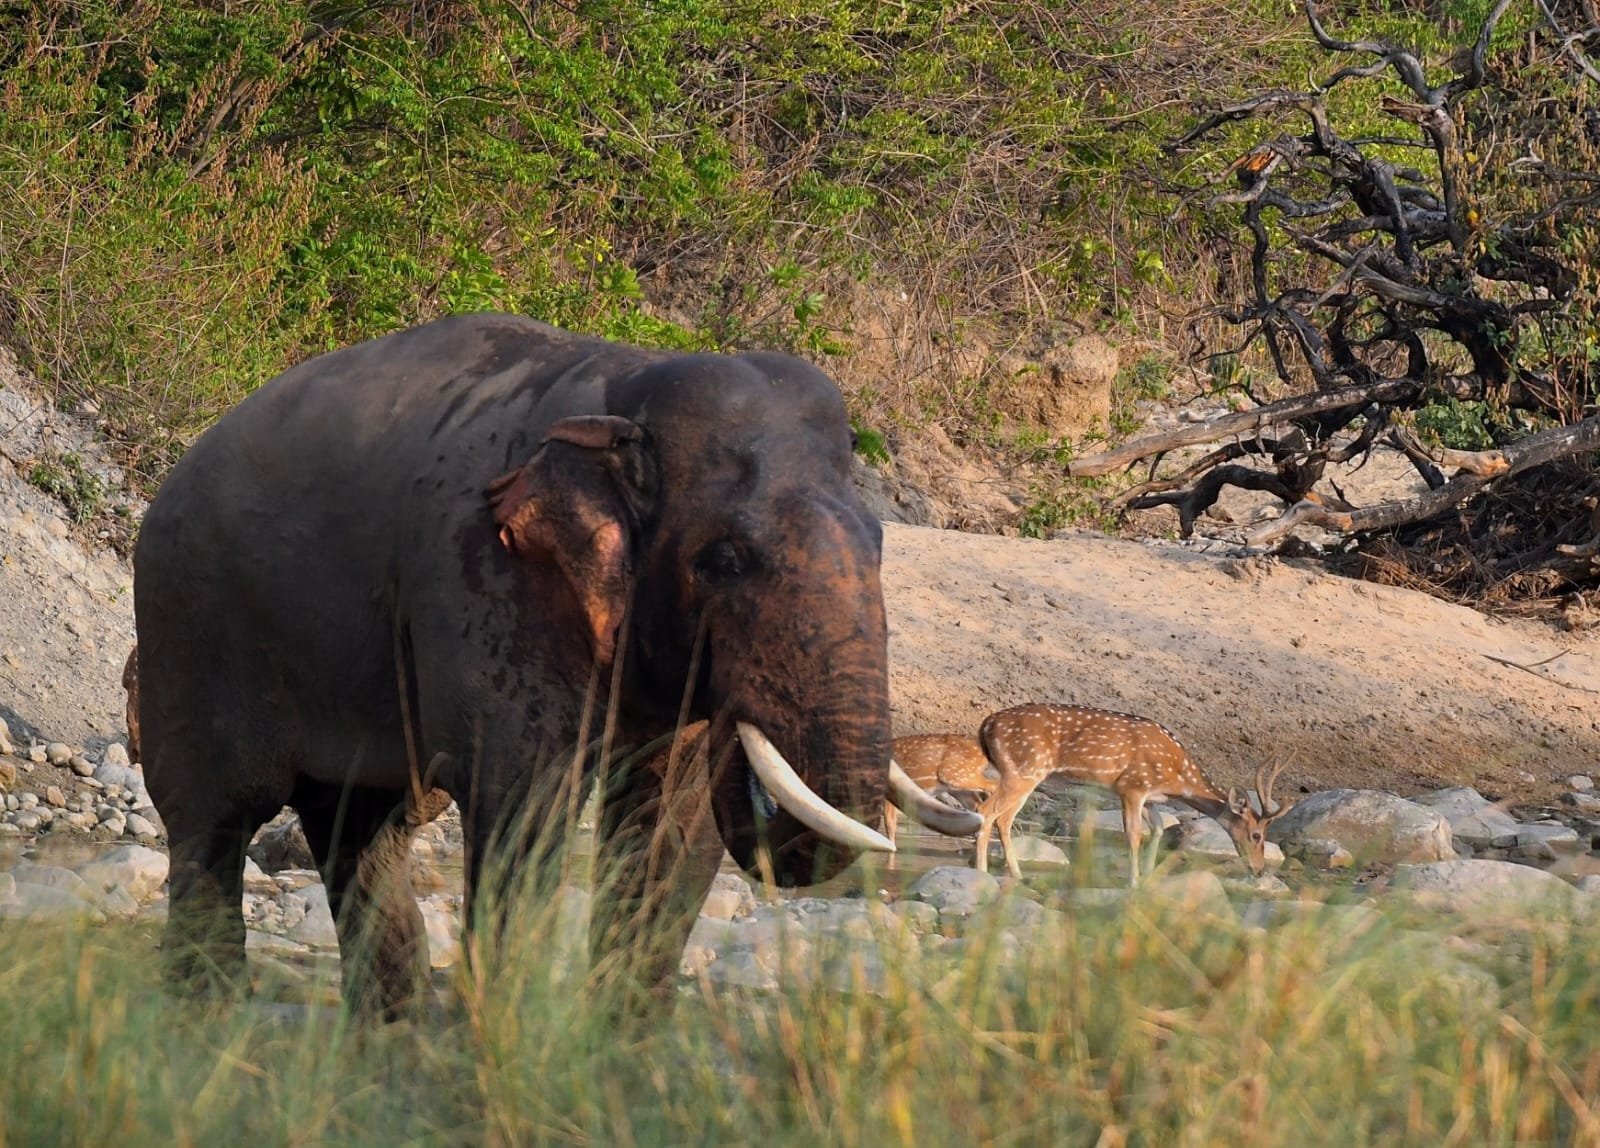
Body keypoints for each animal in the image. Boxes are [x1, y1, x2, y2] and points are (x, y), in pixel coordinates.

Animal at [131, 312, 977, 1018]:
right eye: (727, 559)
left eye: (879, 541)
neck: (624, 396)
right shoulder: (488, 579)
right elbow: (528, 800)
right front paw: (507, 1042)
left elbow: (673, 822)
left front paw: (618, 1053)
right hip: (189, 623)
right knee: (215, 820)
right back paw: (208, 1022)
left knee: (364, 827)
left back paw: (390, 1043)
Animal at [975, 703, 1294, 884]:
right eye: (1257, 835)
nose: (1259, 870)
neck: (1178, 778)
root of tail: (986, 724)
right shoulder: (1132, 786)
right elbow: (1133, 834)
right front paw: (1134, 881)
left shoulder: (1151, 797)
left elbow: (1158, 829)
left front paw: (1148, 876)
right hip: (1025, 771)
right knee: (989, 813)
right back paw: (986, 872)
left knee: (1000, 818)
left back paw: (1014, 874)